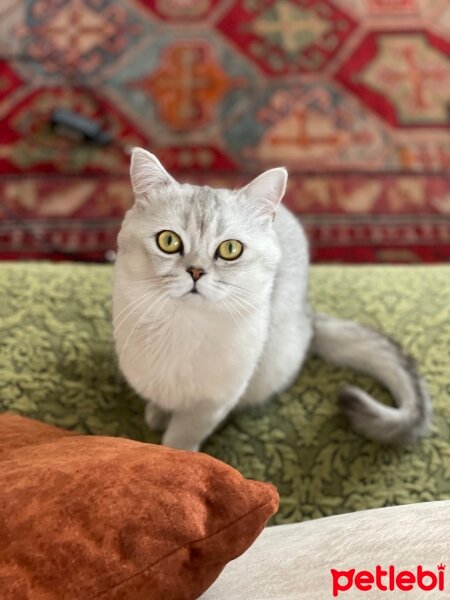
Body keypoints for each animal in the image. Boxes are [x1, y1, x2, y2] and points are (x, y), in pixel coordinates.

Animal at [110, 149, 430, 450]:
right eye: (168, 241)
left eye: (230, 249)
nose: (196, 272)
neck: (184, 328)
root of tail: (307, 317)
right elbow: (161, 402)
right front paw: (157, 415)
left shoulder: (212, 405)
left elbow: (181, 438)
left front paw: (177, 453)